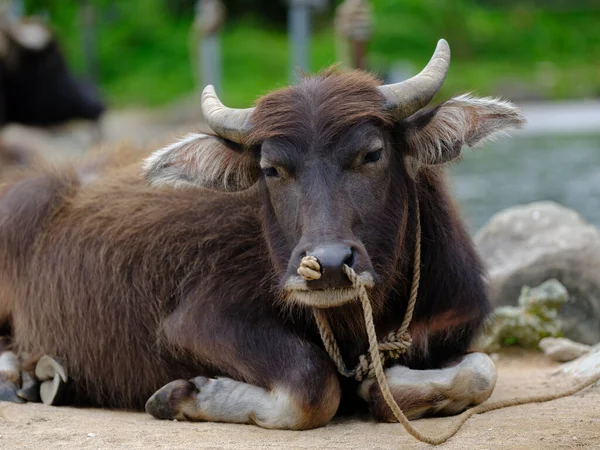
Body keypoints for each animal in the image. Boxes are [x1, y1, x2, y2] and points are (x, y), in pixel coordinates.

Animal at [0, 39, 524, 428]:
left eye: (372, 153)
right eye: (272, 169)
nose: (328, 264)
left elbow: (482, 370)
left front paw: (381, 386)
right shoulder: (197, 322)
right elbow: (313, 385)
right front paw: (184, 394)